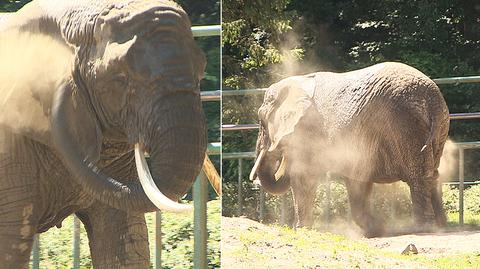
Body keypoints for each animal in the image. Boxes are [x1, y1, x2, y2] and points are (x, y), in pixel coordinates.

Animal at [249, 62, 452, 237]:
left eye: (261, 122)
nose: (254, 181)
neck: (300, 81)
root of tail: (432, 99)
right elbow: (358, 181)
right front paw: (376, 230)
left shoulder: (308, 130)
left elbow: (304, 176)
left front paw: (301, 229)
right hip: (439, 125)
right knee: (432, 174)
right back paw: (441, 225)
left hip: (405, 124)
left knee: (417, 177)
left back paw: (420, 228)